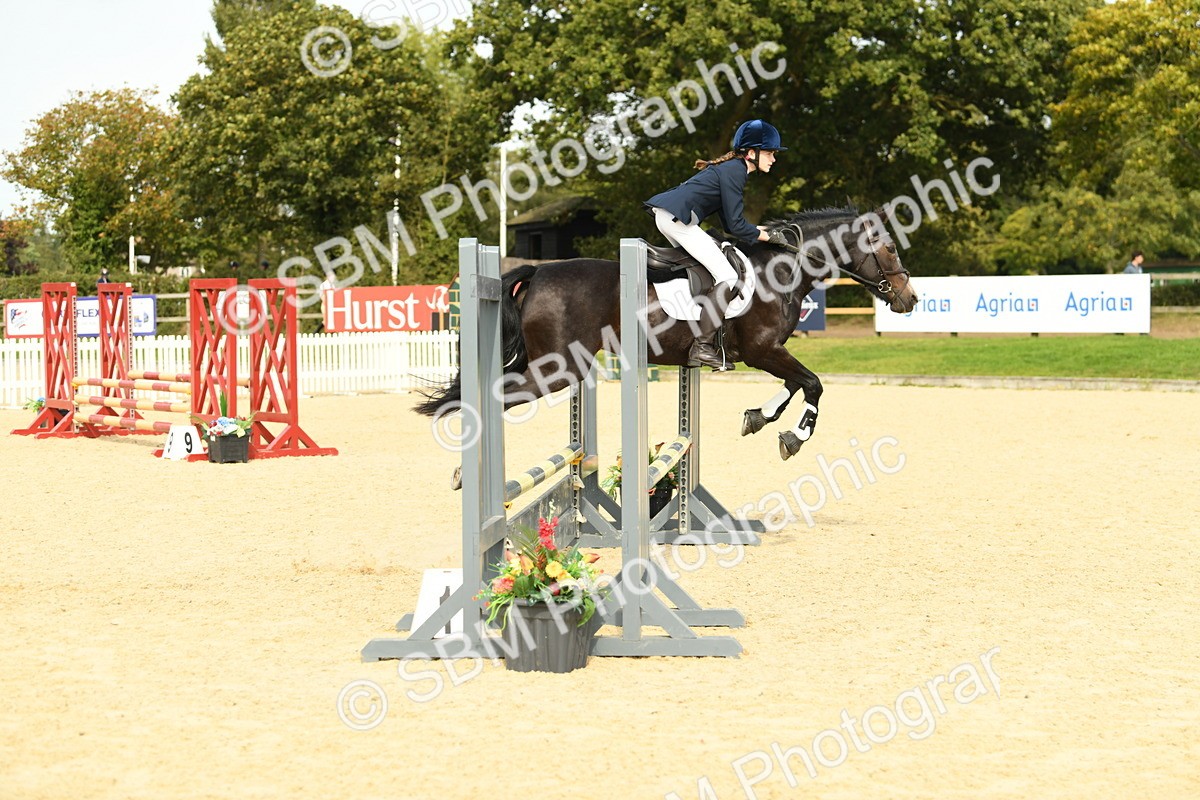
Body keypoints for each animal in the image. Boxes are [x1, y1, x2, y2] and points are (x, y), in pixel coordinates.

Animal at [416, 206, 918, 460]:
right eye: (890, 248)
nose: (910, 299)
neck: (780, 267)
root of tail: (537, 272)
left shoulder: (766, 352)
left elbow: (795, 385)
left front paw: (758, 417)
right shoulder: (761, 350)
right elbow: (812, 384)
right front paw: (793, 438)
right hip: (555, 369)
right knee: (496, 396)